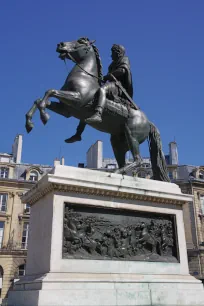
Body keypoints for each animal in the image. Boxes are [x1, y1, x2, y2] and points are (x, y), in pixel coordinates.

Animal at [25, 37, 169, 180]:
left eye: (81, 42)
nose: (60, 44)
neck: (84, 76)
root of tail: (148, 122)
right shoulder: (67, 109)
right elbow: (41, 99)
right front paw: (30, 123)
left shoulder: (77, 99)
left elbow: (51, 91)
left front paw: (44, 116)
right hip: (117, 141)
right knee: (124, 160)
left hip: (132, 135)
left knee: (138, 160)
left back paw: (116, 171)